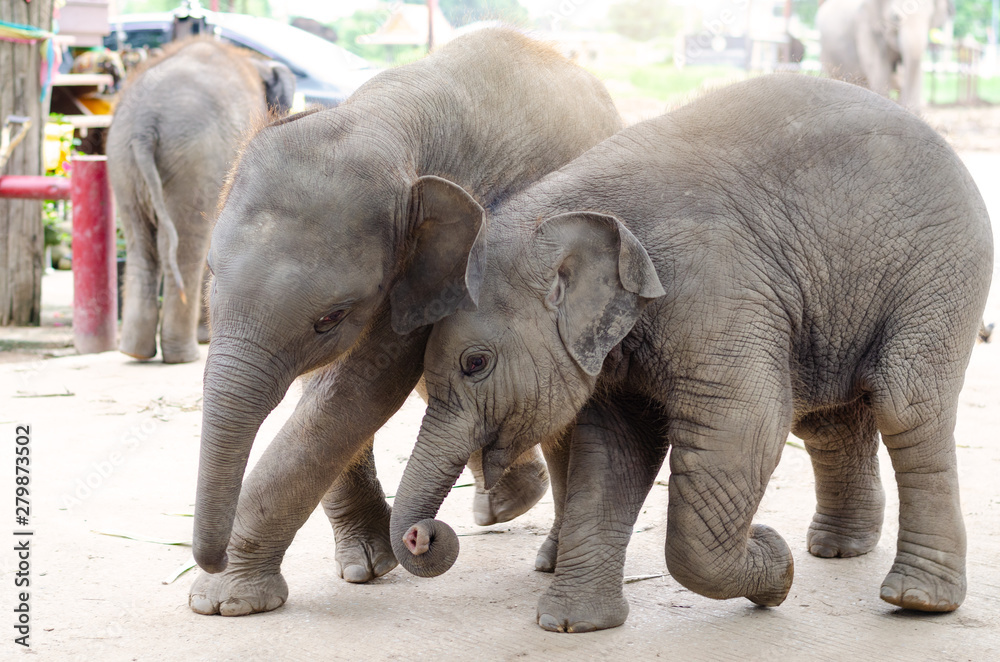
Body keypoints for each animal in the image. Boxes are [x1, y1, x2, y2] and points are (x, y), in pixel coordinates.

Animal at [107, 37, 294, 364]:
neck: (254, 61)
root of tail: (145, 122)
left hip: (122, 160)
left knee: (142, 245)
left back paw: (136, 352)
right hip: (197, 160)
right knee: (187, 246)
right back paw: (185, 355)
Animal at [188, 28, 623, 616]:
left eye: (330, 316)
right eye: (211, 275)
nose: (209, 558)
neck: (385, 117)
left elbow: (361, 388)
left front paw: (223, 601)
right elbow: (331, 384)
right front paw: (365, 567)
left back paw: (542, 547)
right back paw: (506, 502)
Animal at [388, 74, 993, 632]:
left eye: (475, 364)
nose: (422, 536)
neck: (561, 211)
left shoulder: (718, 293)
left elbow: (746, 426)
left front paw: (774, 562)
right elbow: (613, 450)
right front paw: (571, 625)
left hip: (942, 274)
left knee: (906, 406)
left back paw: (918, 601)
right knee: (827, 419)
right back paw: (839, 550)